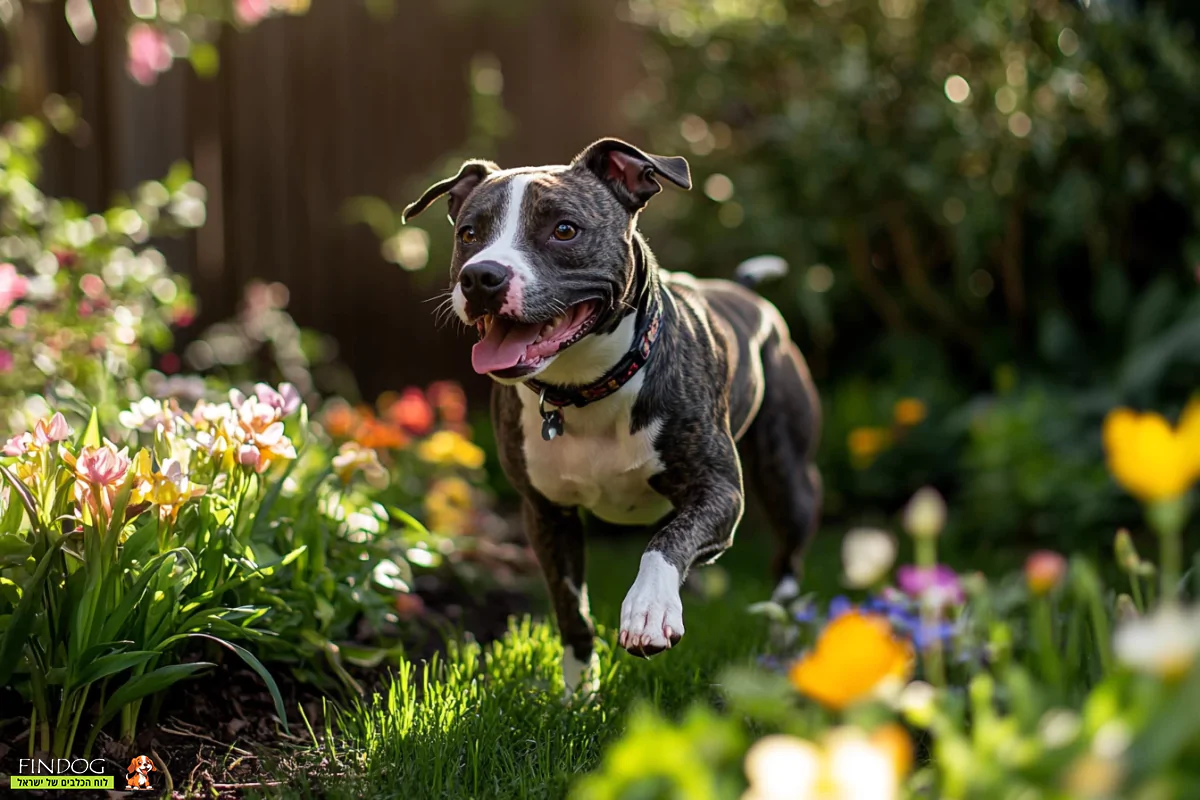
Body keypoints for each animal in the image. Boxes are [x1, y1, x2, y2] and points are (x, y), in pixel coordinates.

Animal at [408, 136, 820, 695]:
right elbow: (571, 609)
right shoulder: (546, 513)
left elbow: (665, 544)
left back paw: (782, 635)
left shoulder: (720, 493)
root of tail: (744, 291)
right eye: (468, 233)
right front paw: (579, 692)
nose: (481, 277)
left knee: (787, 563)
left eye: (564, 229)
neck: (585, 388)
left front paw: (649, 609)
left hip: (786, 477)